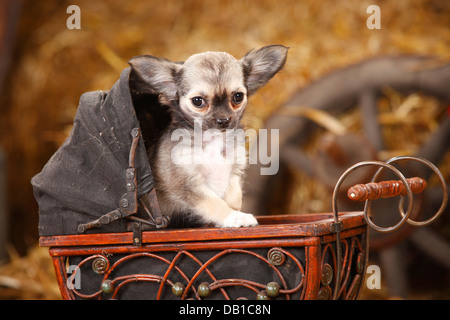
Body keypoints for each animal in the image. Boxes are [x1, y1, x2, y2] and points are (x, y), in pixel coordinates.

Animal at [128, 46, 286, 229]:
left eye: (238, 97)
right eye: (198, 101)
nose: (223, 120)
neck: (214, 139)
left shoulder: (234, 174)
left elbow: (234, 198)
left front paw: (234, 213)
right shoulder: (186, 184)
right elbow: (214, 203)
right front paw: (234, 217)